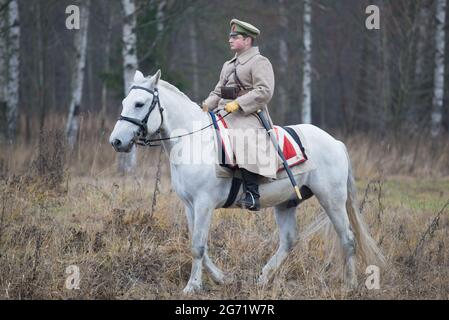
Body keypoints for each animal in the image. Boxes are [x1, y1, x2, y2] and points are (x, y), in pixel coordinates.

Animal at [107, 70, 382, 296]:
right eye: (124, 102)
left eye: (139, 103)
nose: (116, 142)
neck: (194, 142)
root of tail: (335, 142)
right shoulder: (190, 205)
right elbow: (198, 245)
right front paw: (221, 278)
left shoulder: (204, 204)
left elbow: (197, 246)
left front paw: (192, 286)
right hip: (286, 203)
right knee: (289, 241)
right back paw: (263, 278)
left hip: (332, 200)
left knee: (347, 238)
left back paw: (349, 285)